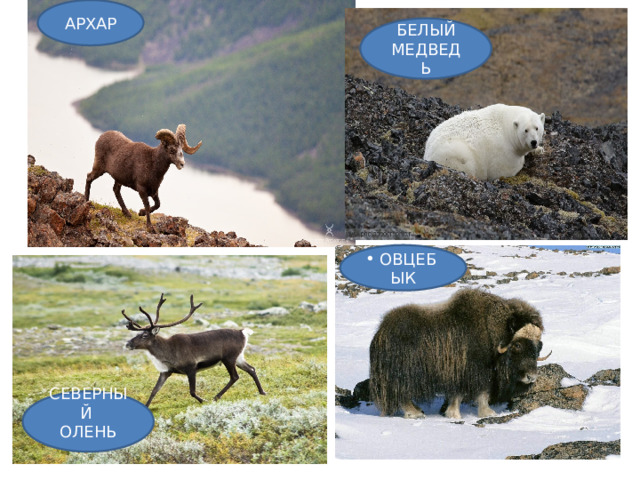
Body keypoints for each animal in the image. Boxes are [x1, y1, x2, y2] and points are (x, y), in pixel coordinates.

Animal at [123, 293, 266, 407]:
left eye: (144, 335)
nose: (128, 343)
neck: (167, 352)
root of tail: (243, 332)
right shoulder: (166, 372)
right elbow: (154, 391)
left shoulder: (191, 368)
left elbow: (192, 392)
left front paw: (204, 401)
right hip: (238, 357)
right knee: (251, 369)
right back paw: (262, 392)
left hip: (229, 358)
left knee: (235, 376)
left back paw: (216, 397)